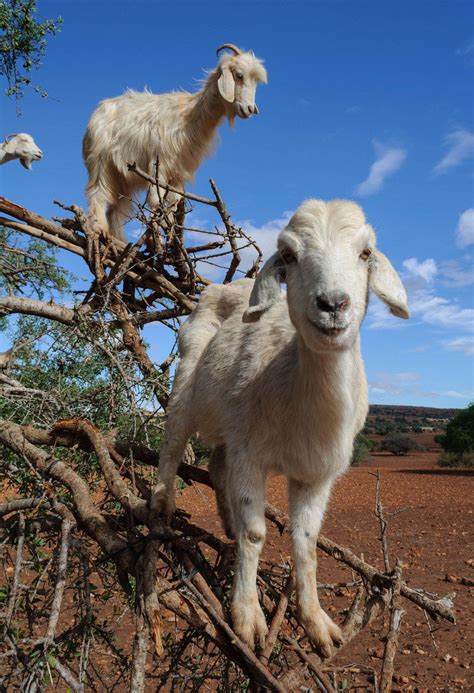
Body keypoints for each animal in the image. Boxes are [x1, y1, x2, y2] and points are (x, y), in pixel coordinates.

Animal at [81, 44, 266, 241]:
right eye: (239, 75)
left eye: (256, 82)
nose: (249, 109)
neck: (187, 116)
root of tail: (97, 112)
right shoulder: (158, 164)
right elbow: (157, 200)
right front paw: (160, 232)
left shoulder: (178, 173)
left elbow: (173, 203)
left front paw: (172, 232)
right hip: (100, 161)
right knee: (98, 193)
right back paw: (99, 229)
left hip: (124, 177)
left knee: (116, 208)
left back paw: (119, 241)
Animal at [151, 199, 408, 656]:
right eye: (288, 255)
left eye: (366, 253)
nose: (333, 303)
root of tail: (228, 286)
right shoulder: (251, 454)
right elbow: (256, 534)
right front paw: (247, 617)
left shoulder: (316, 474)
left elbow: (306, 544)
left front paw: (317, 623)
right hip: (188, 369)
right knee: (174, 436)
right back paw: (162, 500)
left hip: (231, 423)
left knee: (218, 464)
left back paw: (227, 521)